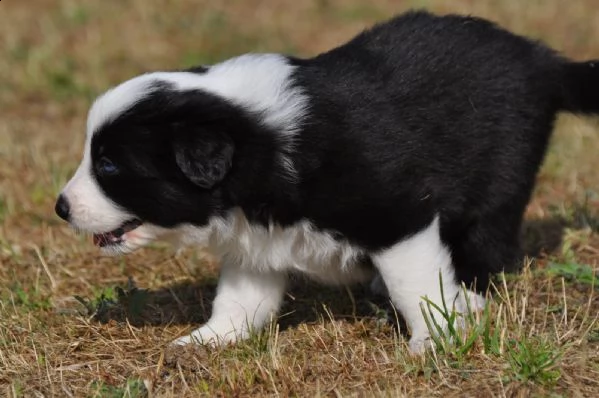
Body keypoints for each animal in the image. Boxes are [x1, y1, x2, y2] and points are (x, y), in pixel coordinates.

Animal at [56, 10, 599, 352]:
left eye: (108, 165)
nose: (60, 207)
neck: (264, 144)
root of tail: (543, 60)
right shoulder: (256, 239)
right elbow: (241, 298)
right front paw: (208, 340)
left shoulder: (397, 214)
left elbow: (416, 283)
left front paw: (435, 338)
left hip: (500, 179)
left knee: (489, 243)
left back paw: (470, 296)